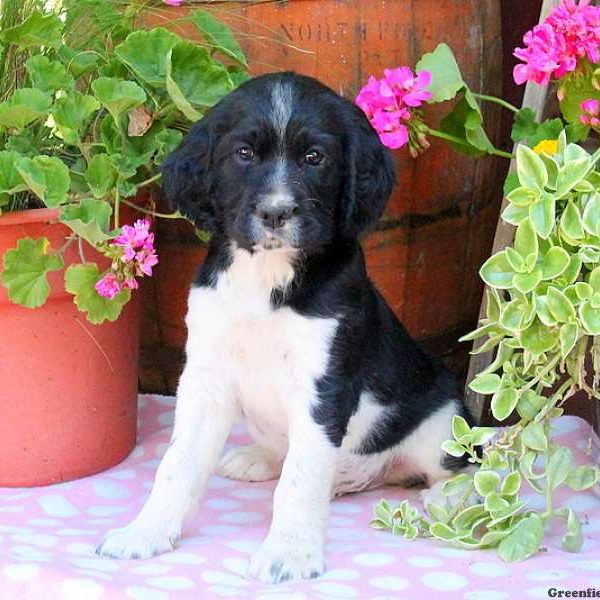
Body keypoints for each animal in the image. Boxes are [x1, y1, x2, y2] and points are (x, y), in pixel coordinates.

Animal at [97, 70, 474, 580]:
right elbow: (176, 464)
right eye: (244, 154)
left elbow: (301, 479)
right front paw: (145, 532)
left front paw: (289, 553)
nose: (276, 213)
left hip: (442, 422)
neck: (267, 276)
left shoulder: (324, 386)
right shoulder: (205, 377)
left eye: (315, 158)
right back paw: (259, 458)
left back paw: (449, 498)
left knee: (460, 466)